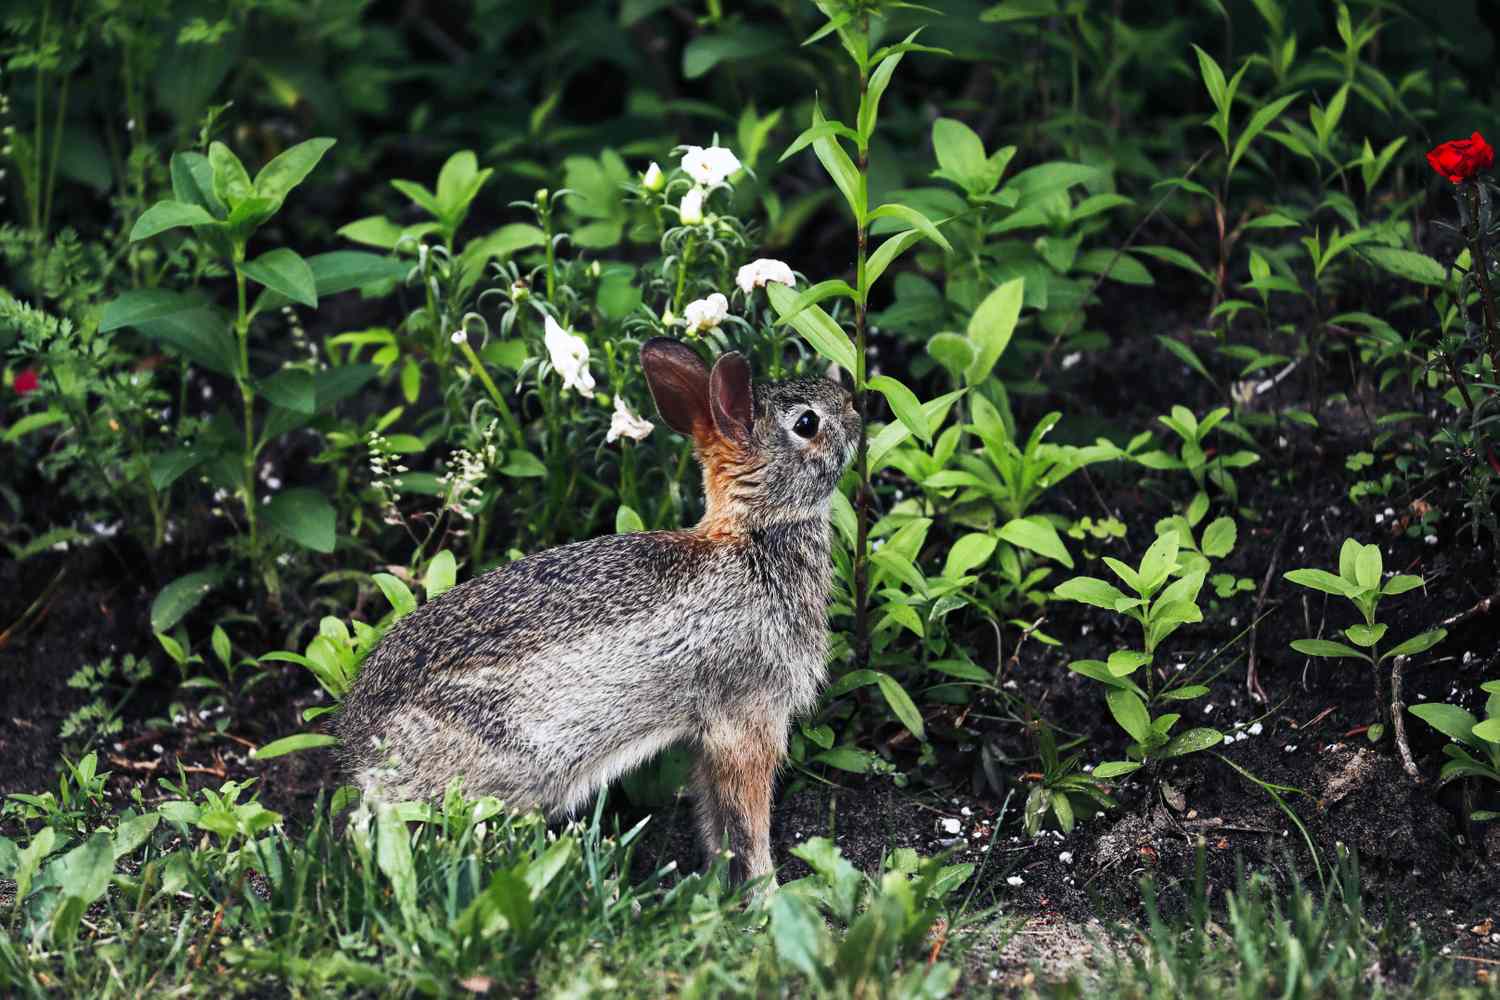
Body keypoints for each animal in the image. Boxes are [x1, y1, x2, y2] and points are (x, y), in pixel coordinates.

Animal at [337, 336, 859, 885]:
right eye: (807, 423)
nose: (853, 407)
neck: (753, 534)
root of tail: (363, 748)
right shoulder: (747, 718)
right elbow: (745, 819)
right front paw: (765, 891)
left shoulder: (707, 735)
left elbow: (714, 817)